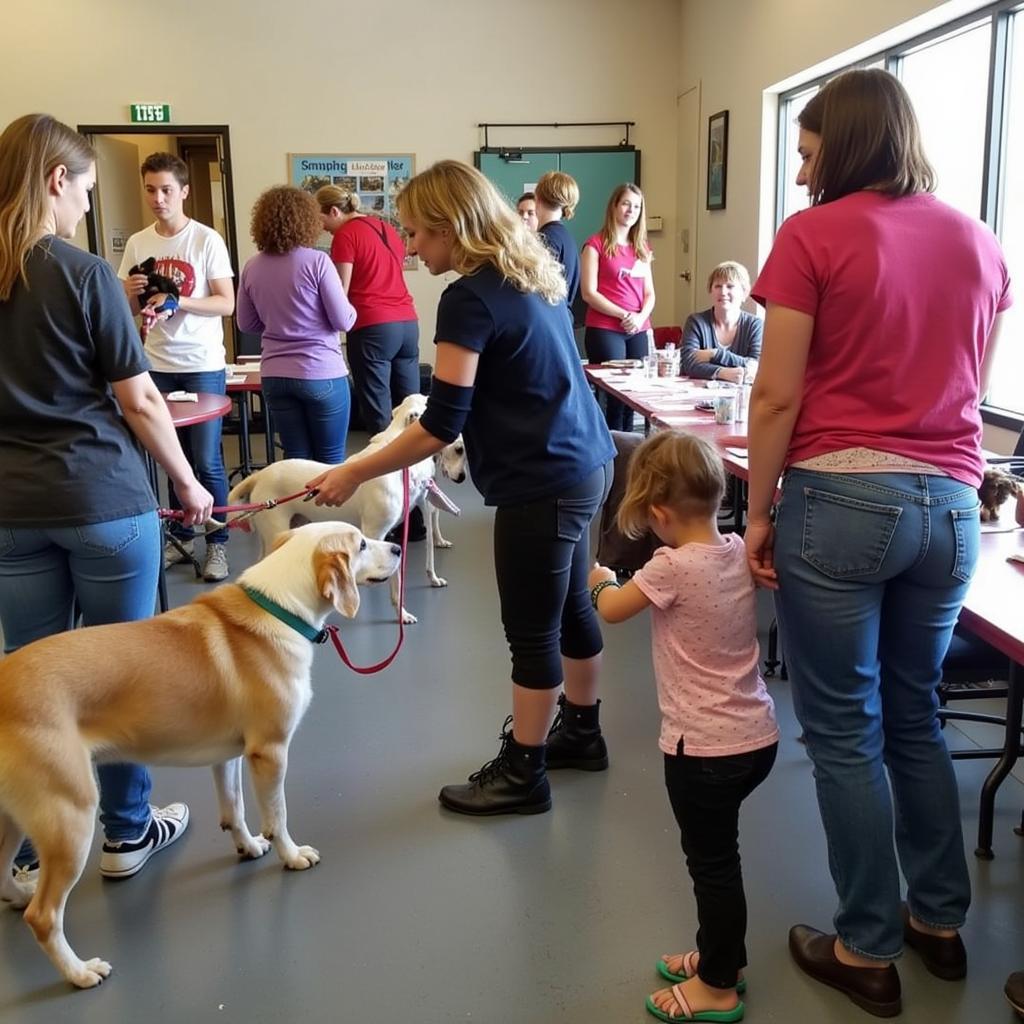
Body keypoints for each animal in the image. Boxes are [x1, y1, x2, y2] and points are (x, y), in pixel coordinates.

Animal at [0, 524, 399, 987]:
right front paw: (291, 855)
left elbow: (235, 811)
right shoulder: (270, 753)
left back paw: (19, 895)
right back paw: (80, 972)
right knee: (44, 917)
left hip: (13, 820)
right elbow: (277, 816)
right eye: (361, 544)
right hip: (70, 816)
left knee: (2, 876)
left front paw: (249, 847)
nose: (396, 546)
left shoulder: (227, 756)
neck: (280, 608)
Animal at [228, 395, 468, 626]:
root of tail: (259, 475)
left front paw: (430, 580)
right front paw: (401, 614)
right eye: (459, 449)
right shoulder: (375, 534)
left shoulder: (410, 521)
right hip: (275, 534)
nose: (463, 478)